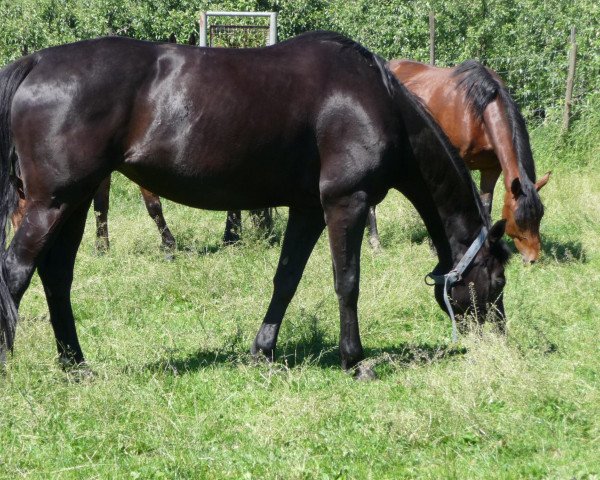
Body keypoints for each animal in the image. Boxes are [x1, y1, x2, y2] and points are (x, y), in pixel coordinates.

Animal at [0, 31, 508, 376]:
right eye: (499, 281)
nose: (500, 337)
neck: (375, 98)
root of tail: (36, 62)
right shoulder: (346, 202)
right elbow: (347, 282)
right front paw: (355, 360)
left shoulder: (308, 210)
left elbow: (286, 278)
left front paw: (263, 351)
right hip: (53, 202)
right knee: (17, 271)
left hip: (75, 201)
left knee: (56, 277)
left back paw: (76, 365)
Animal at [366, 59, 548, 262]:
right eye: (519, 219)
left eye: (540, 215)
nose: (533, 258)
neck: (478, 110)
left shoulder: (491, 169)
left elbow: (486, 205)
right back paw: (375, 243)